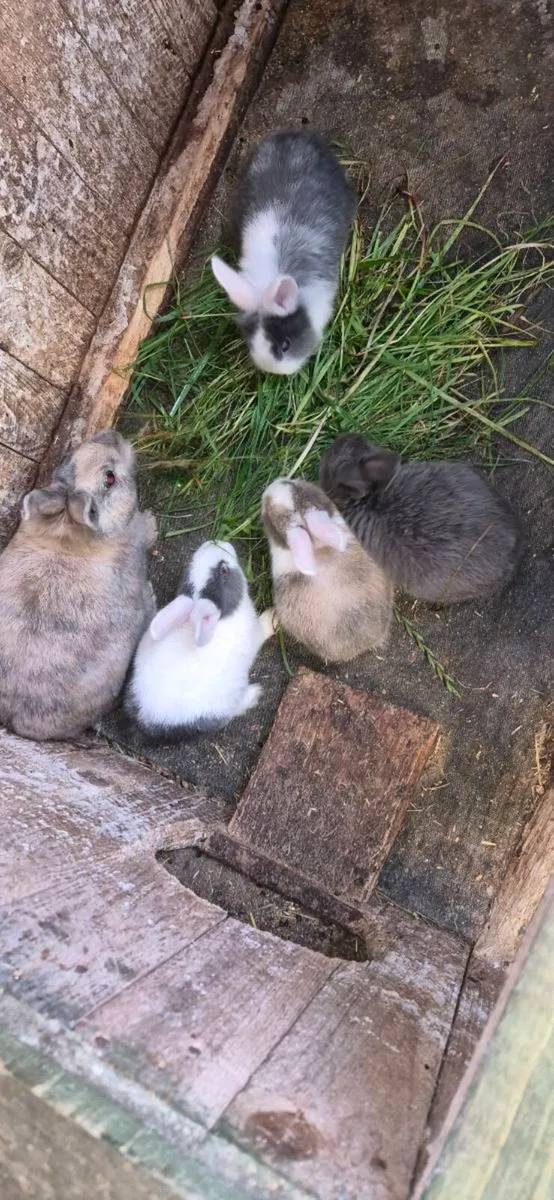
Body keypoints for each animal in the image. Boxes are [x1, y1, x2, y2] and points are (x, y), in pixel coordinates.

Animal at [0, 430, 156, 741]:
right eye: (109, 478)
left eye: (68, 458)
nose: (112, 434)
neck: (69, 528)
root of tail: (16, 723)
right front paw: (152, 524)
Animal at [125, 541, 276, 740]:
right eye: (224, 570)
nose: (216, 541)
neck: (224, 618)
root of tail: (150, 720)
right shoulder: (255, 633)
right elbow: (264, 628)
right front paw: (274, 616)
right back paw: (255, 694)